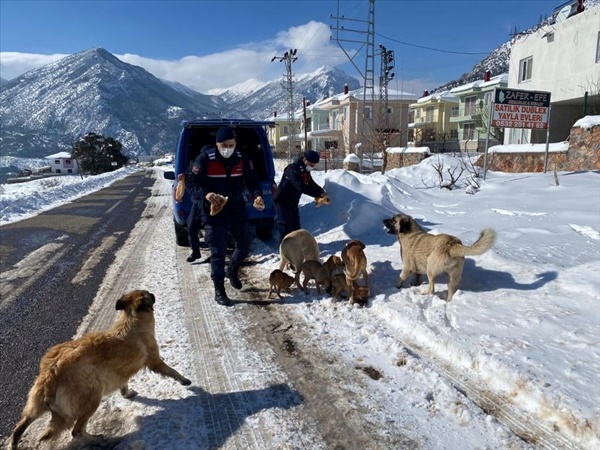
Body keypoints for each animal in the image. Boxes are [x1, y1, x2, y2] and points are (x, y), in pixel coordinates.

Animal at [9, 290, 192, 448]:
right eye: (147, 294)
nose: (153, 294)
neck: (131, 320)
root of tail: (52, 373)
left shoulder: (119, 372)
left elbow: (123, 383)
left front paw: (127, 393)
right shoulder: (154, 360)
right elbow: (171, 371)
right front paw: (185, 381)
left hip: (36, 404)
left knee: (20, 426)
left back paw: (14, 443)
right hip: (92, 397)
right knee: (77, 431)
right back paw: (97, 439)